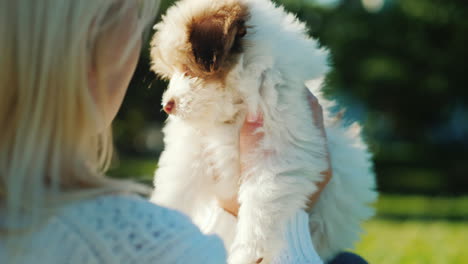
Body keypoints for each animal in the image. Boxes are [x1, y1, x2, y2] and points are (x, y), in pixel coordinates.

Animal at [150, 0, 376, 262]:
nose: (167, 105)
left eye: (189, 70)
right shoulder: (191, 153)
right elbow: (176, 190)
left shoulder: (277, 156)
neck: (237, 106)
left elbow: (259, 207)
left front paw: (246, 252)